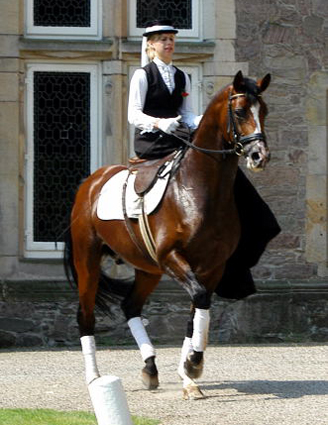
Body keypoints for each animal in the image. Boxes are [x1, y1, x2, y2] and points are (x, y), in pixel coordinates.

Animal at [64, 69, 272, 398]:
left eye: (263, 111)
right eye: (240, 111)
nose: (259, 156)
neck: (200, 189)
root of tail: (92, 182)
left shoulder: (212, 266)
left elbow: (197, 313)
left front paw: (189, 374)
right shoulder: (171, 257)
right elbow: (199, 299)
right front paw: (194, 364)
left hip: (147, 269)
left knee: (131, 306)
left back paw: (150, 367)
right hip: (88, 260)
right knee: (85, 314)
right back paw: (95, 378)